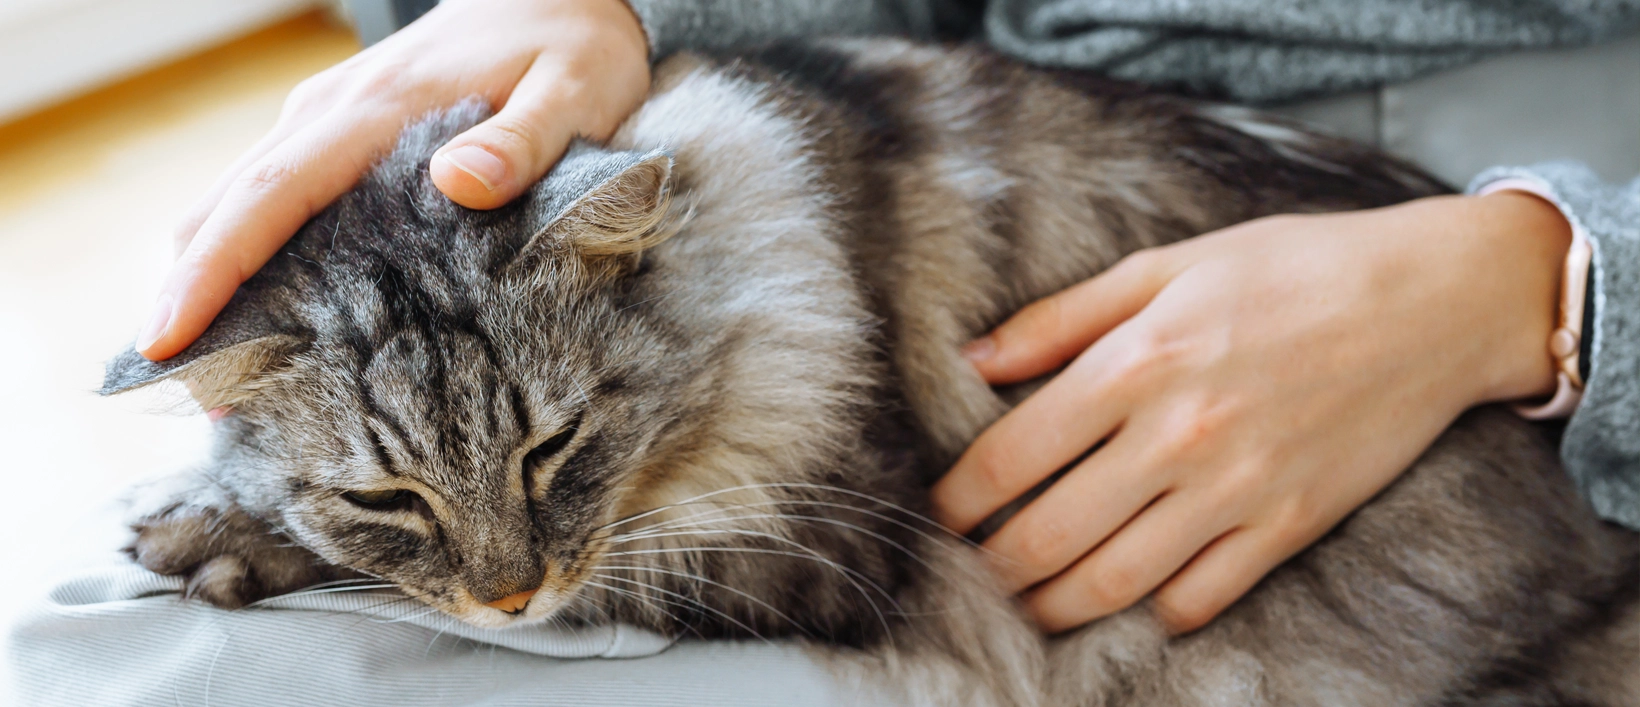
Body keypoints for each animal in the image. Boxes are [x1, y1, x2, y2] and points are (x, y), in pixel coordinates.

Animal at [109, 40, 1633, 707]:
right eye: (393, 495)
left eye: (552, 447)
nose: (507, 594)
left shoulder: (833, 534)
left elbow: (618, 563)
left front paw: (210, 532)